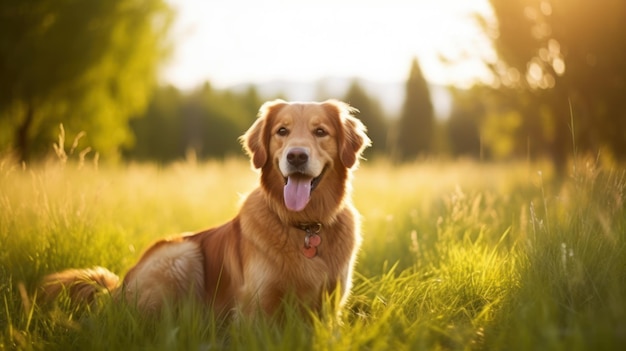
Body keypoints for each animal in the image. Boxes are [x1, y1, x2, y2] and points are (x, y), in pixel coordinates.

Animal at [39, 99, 368, 320]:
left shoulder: (329, 309)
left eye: (321, 132)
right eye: (282, 131)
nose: (296, 156)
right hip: (181, 254)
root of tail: (117, 289)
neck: (305, 225)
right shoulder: (254, 308)